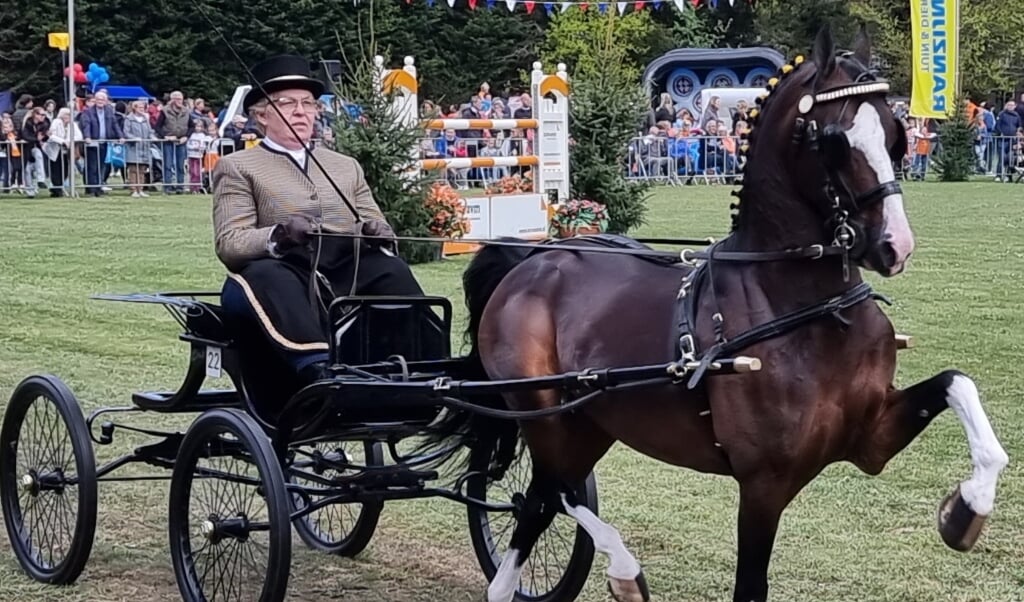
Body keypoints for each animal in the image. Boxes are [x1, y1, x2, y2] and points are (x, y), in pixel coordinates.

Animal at [423, 25, 1007, 602]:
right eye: (835, 140)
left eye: (895, 133)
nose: (894, 245)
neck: (810, 313)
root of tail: (533, 259)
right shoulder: (764, 483)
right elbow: (749, 586)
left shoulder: (872, 439)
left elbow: (957, 384)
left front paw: (965, 511)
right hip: (543, 412)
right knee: (556, 489)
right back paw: (623, 568)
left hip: (588, 420)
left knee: (541, 500)